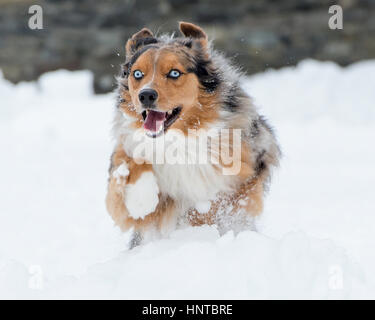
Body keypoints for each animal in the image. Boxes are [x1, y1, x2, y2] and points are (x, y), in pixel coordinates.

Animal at [105, 22, 280, 248]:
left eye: (174, 73)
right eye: (137, 74)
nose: (146, 95)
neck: (180, 138)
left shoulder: (256, 154)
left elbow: (223, 202)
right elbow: (125, 164)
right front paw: (140, 199)